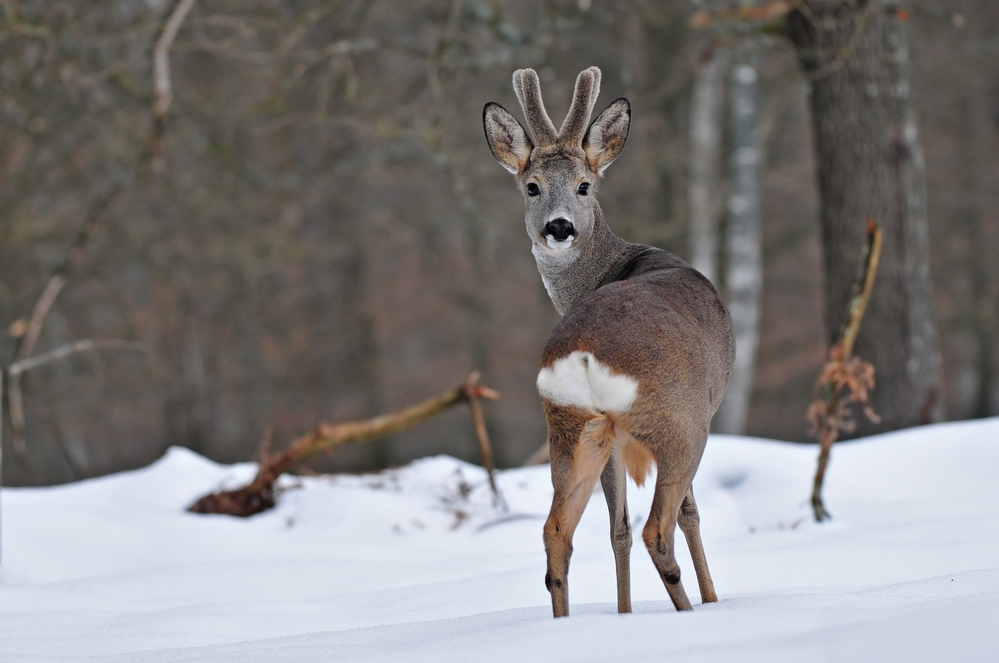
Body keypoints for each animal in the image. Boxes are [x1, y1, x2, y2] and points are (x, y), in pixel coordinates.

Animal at [484, 66, 736, 616]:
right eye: (532, 187)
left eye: (584, 185)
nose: (559, 227)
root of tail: (582, 353)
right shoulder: (701, 411)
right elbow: (689, 514)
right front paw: (712, 599)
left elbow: (614, 526)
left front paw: (625, 612)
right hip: (677, 421)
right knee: (658, 527)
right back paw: (690, 609)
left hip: (574, 427)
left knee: (558, 530)